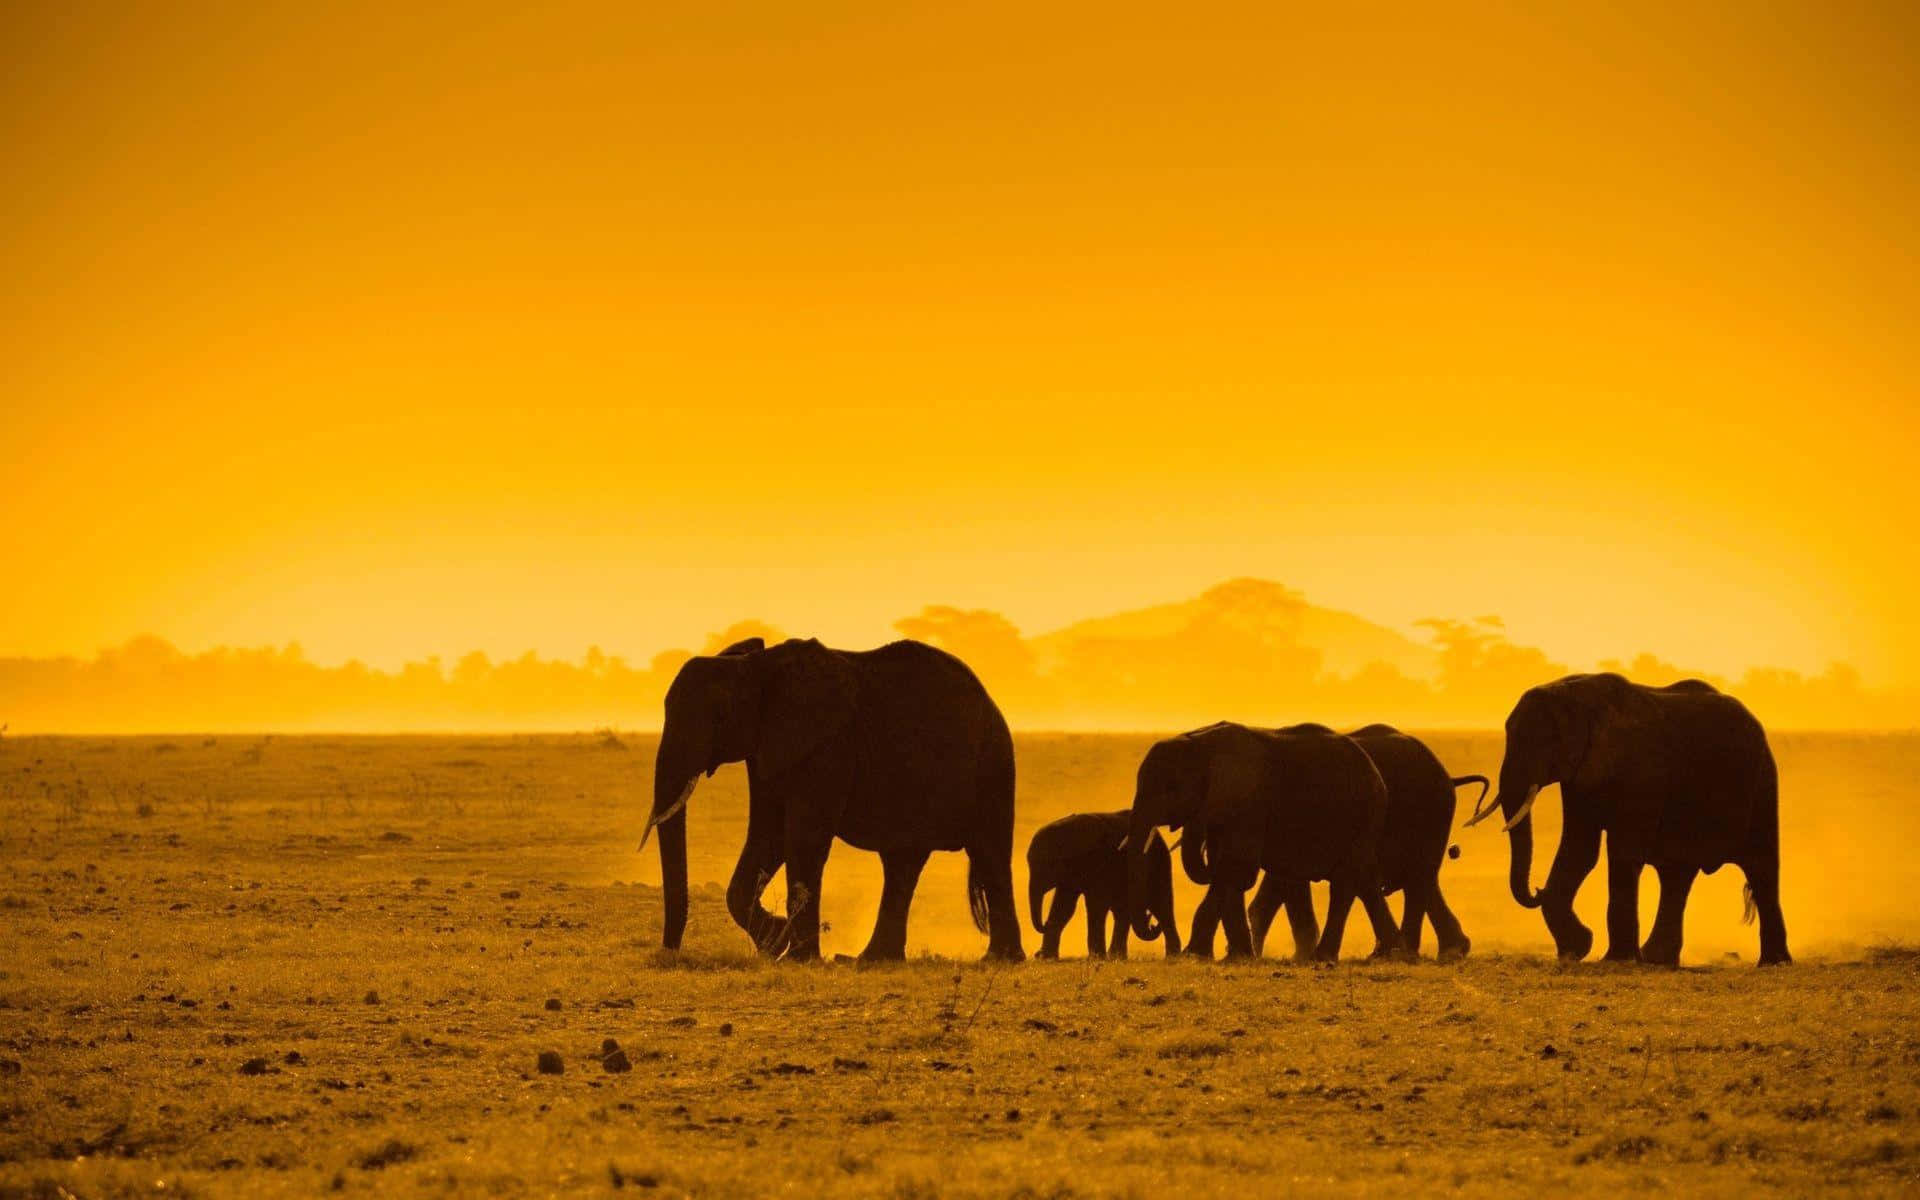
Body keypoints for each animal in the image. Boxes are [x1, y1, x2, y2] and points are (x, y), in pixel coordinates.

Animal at [641, 637, 1036, 963]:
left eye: (719, 714)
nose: (671, 952)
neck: (756, 666)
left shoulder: (827, 746)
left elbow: (804, 837)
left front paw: (794, 957)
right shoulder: (770, 746)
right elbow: (769, 835)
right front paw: (774, 942)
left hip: (993, 766)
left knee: (988, 853)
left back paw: (998, 960)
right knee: (903, 862)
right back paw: (871, 960)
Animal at [1029, 810, 1175, 960]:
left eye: (1048, 865)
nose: (1045, 924)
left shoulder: (1101, 861)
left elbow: (1096, 905)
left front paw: (1096, 957)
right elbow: (1064, 907)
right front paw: (1046, 957)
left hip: (1159, 862)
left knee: (1161, 906)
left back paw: (1172, 955)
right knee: (1124, 911)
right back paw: (1117, 956)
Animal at [1121, 714, 1405, 960]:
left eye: (1170, 788)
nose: (1152, 922)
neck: (1200, 742)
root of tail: (1375, 773)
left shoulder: (1248, 802)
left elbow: (1236, 867)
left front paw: (1195, 955)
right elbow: (1228, 870)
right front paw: (1235, 957)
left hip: (1363, 814)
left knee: (1345, 881)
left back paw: (1327, 957)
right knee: (1364, 880)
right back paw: (1388, 953)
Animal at [1459, 675, 1789, 963]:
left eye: (1541, 741)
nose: (1537, 890)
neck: (1575, 693)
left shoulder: (1640, 773)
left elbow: (1623, 853)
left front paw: (1616, 960)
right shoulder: (1581, 779)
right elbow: (1578, 851)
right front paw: (1577, 949)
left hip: (1763, 782)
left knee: (1761, 868)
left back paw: (1773, 963)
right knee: (1677, 875)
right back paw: (1658, 960)